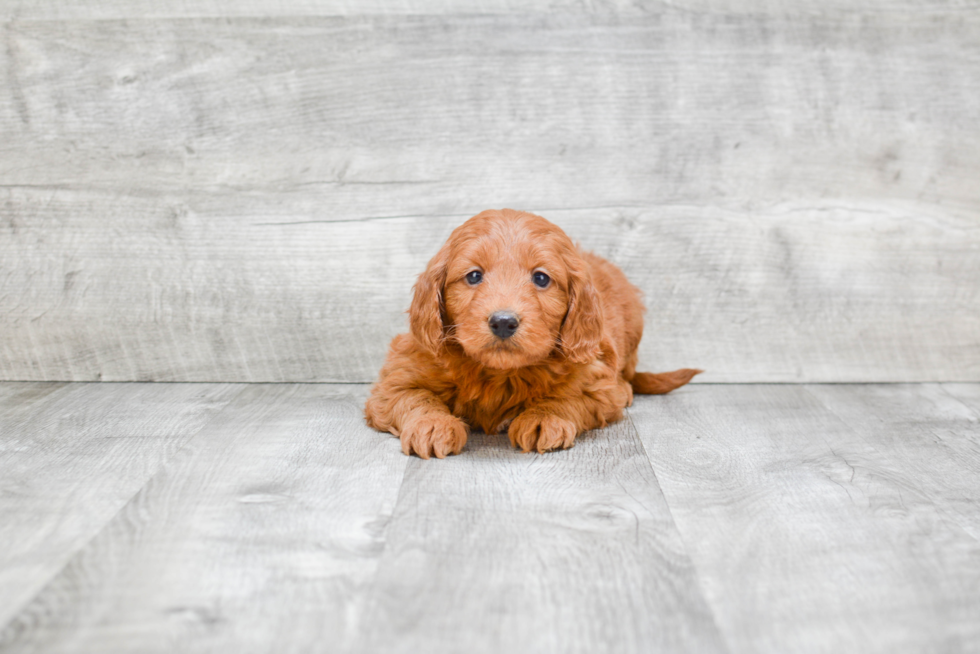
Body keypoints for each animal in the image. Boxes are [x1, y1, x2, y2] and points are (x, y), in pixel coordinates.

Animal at [366, 211, 696, 462]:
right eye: (474, 276)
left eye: (540, 278)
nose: (503, 322)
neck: (499, 374)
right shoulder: (399, 375)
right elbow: (415, 396)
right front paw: (432, 424)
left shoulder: (596, 377)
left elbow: (568, 396)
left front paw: (543, 417)